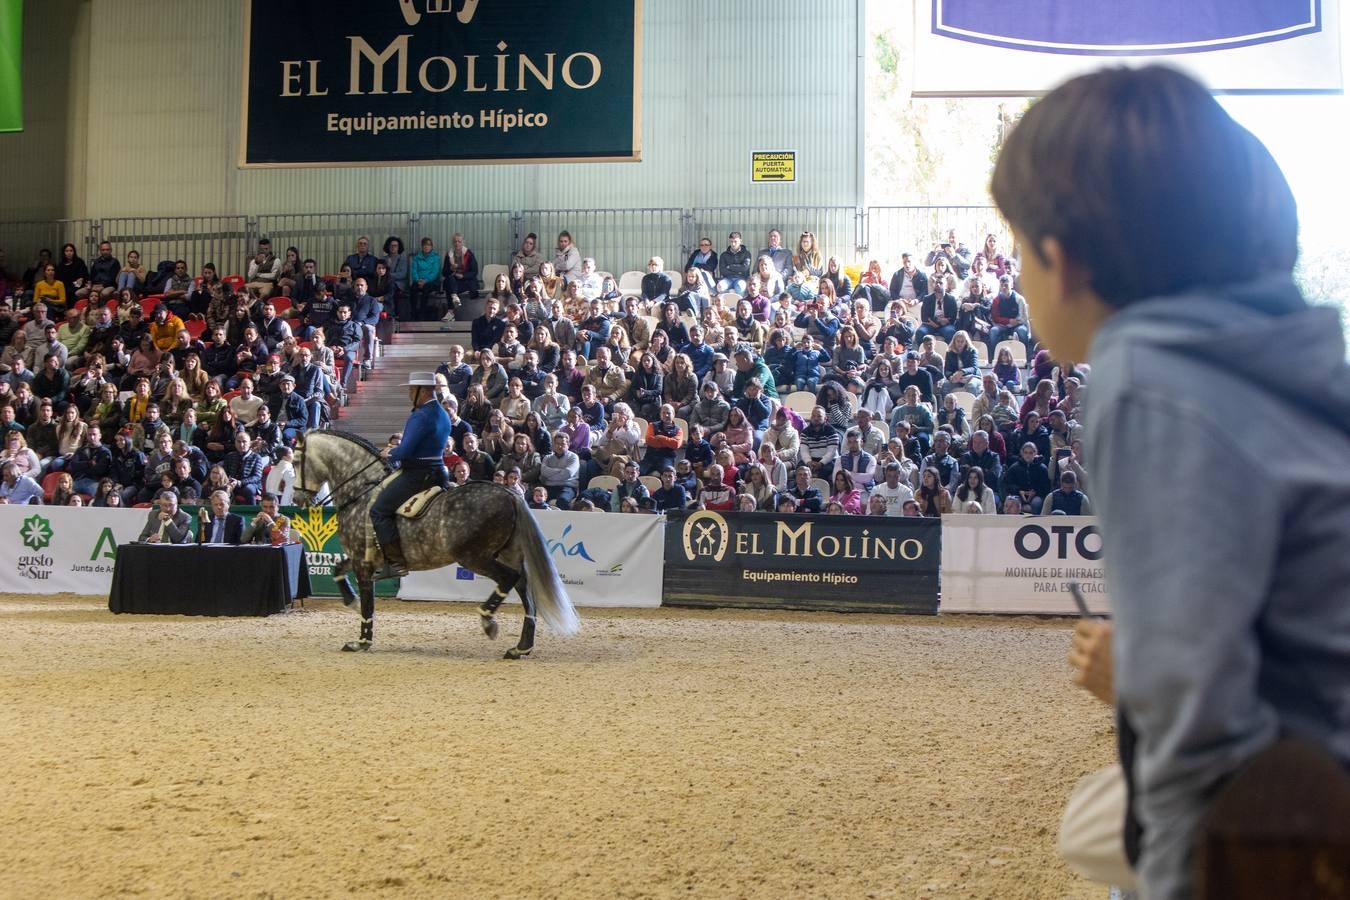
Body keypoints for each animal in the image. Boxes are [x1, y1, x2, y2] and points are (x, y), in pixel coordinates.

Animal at [292, 431, 577, 658]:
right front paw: (349, 600)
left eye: (295, 462)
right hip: (507, 554)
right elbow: (337, 569)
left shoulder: (363, 562)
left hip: (474, 557)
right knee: (525, 591)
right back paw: (520, 648)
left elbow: (368, 603)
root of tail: (508, 494)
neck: (361, 491)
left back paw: (488, 621)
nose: (296, 499)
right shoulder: (361, 557)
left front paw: (361, 641)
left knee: (509, 579)